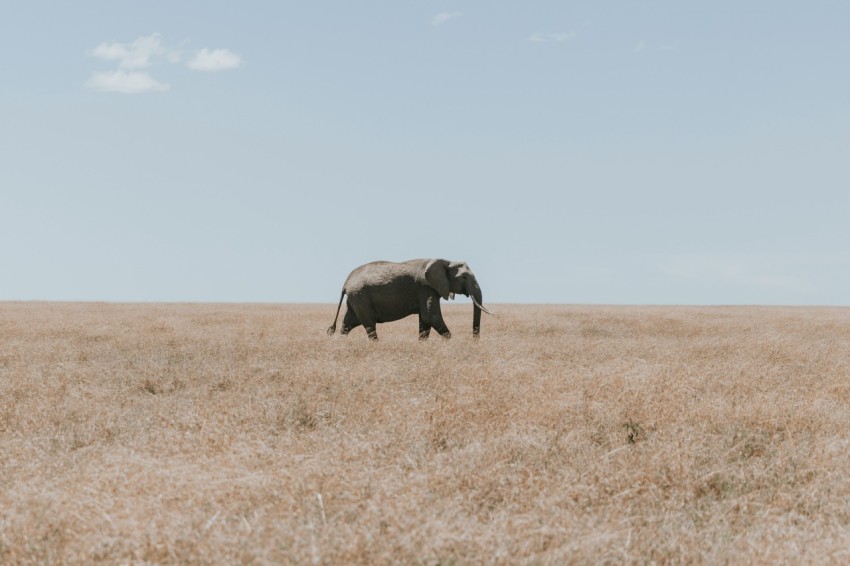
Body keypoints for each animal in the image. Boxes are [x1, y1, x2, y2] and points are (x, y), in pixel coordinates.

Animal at [327, 258, 493, 341]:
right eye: (463, 277)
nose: (474, 341)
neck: (445, 261)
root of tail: (345, 283)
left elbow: (425, 321)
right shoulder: (426, 287)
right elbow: (430, 316)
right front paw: (449, 341)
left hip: (356, 299)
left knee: (348, 324)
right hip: (360, 297)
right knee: (369, 326)